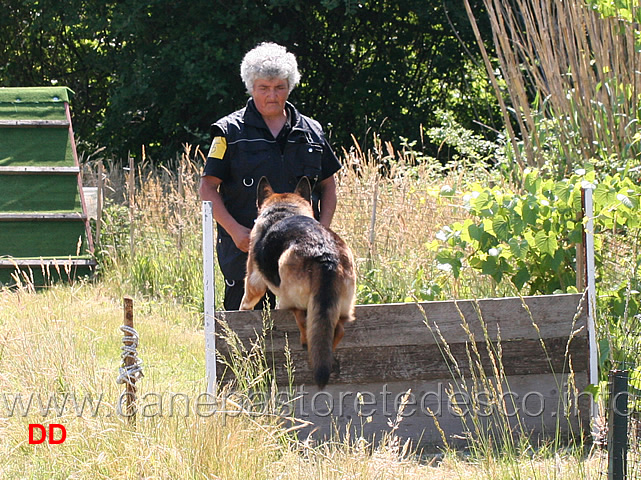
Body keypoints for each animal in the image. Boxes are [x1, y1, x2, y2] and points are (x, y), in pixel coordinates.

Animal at [240, 178, 358, 388]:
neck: (284, 209)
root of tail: (326, 255)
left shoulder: (253, 281)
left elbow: (246, 299)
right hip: (341, 304)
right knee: (338, 329)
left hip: (287, 288)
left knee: (300, 315)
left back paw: (305, 342)